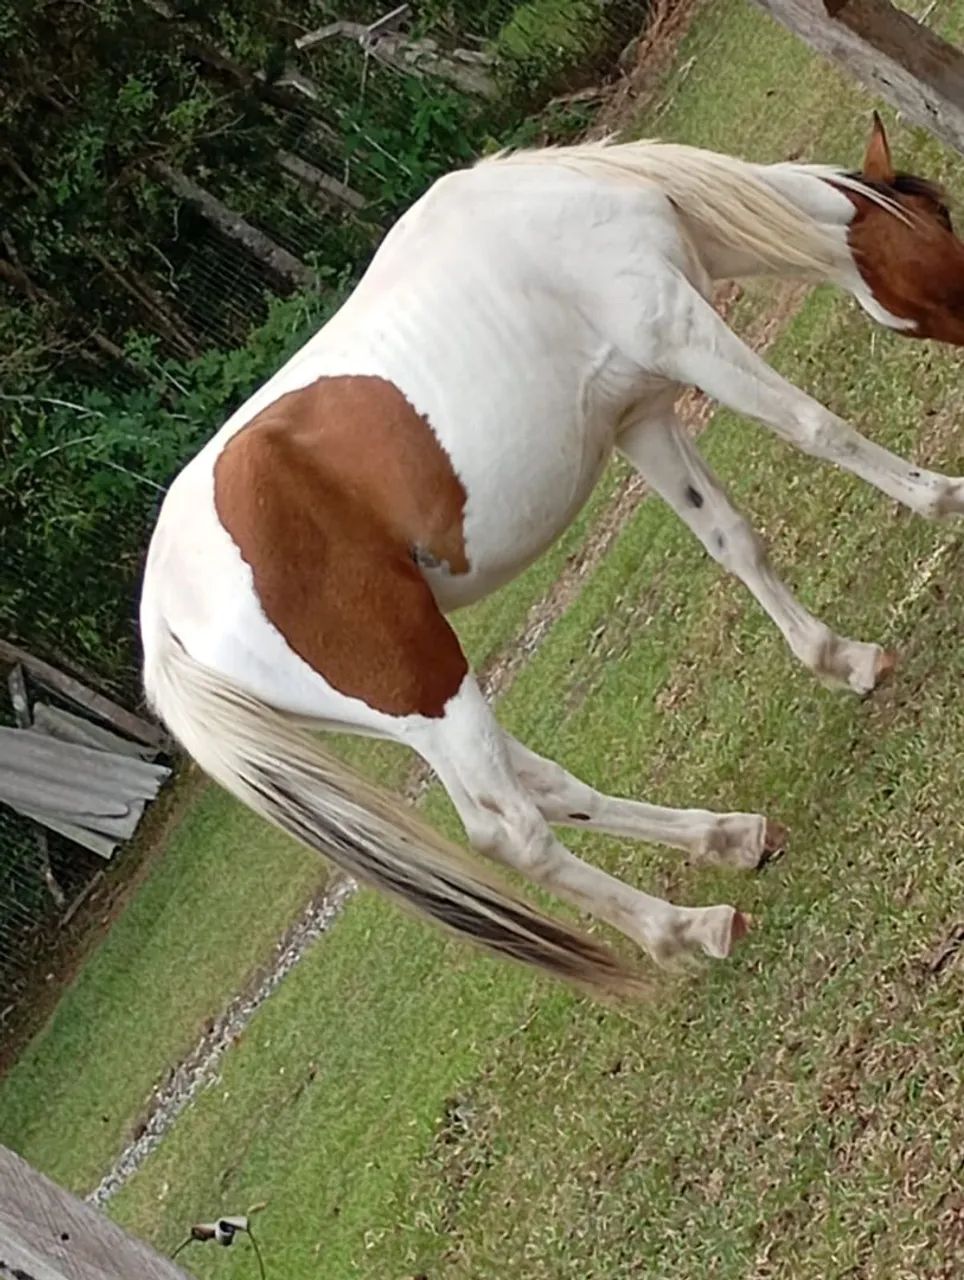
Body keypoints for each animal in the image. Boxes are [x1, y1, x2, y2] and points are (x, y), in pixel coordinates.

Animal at [141, 114, 964, 998]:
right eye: (940, 221)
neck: (586, 204)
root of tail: (164, 621)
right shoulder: (686, 336)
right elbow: (817, 428)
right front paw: (947, 499)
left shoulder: (640, 416)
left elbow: (730, 539)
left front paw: (841, 659)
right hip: (429, 692)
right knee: (511, 833)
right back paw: (688, 927)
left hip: (420, 712)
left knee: (548, 788)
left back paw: (729, 838)